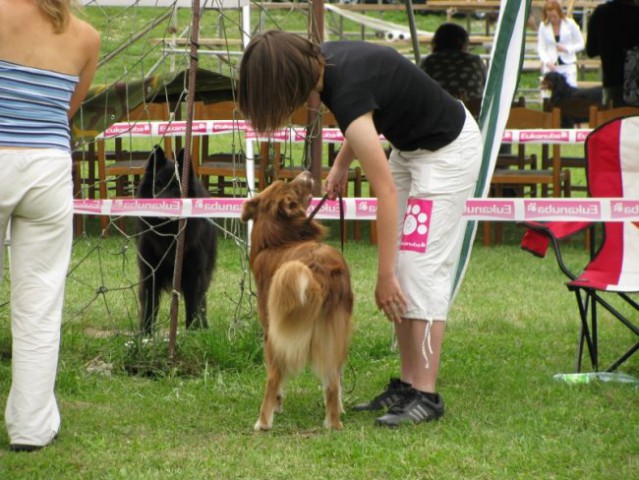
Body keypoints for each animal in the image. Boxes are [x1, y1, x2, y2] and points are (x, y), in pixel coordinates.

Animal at [135, 144, 218, 336]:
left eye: (176, 187)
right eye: (157, 185)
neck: (169, 234)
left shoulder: (193, 274)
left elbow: (193, 307)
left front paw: (193, 334)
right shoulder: (150, 272)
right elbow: (149, 307)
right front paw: (145, 336)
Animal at [241, 171, 356, 430]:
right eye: (293, 186)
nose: (308, 172)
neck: (278, 240)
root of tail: (319, 270)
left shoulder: (269, 329)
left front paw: (277, 404)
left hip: (277, 336)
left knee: (274, 376)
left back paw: (263, 422)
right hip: (335, 332)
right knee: (333, 379)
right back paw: (334, 421)